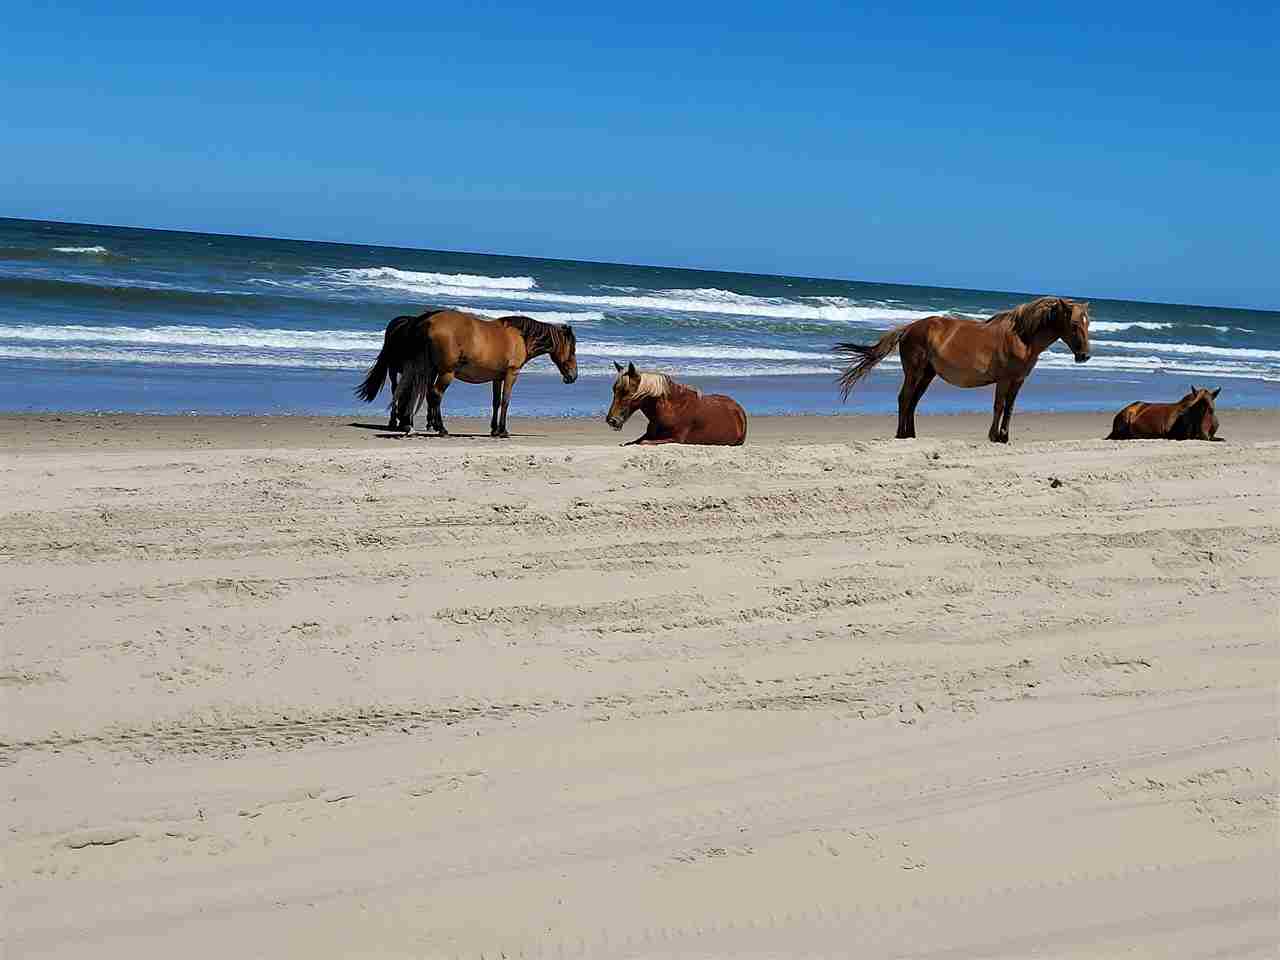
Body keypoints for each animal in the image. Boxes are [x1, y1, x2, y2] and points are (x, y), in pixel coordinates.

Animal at [384, 309, 576, 437]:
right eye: (572, 349)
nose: (573, 376)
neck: (520, 336)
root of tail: (427, 321)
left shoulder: (497, 378)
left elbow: (496, 402)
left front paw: (494, 430)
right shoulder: (511, 374)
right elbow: (506, 401)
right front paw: (503, 431)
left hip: (428, 371)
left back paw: (409, 424)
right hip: (446, 373)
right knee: (435, 395)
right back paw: (441, 428)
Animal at [604, 363, 747, 450]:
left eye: (627, 392)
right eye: (614, 390)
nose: (612, 421)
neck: (672, 409)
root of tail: (738, 408)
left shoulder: (675, 439)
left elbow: (642, 443)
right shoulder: (648, 435)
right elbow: (630, 443)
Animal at [834, 296, 1095, 442]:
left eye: (1088, 322)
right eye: (1074, 324)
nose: (1084, 356)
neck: (1022, 338)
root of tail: (909, 328)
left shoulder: (1019, 380)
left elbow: (1010, 408)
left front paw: (1004, 437)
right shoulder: (1004, 379)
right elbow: (999, 406)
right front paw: (994, 436)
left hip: (927, 375)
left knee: (913, 401)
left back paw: (911, 434)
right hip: (915, 372)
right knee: (905, 398)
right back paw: (901, 434)